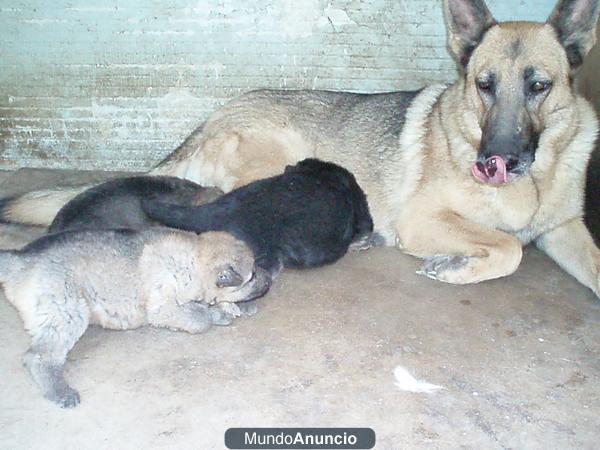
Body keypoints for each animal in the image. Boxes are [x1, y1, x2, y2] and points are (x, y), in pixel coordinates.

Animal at [0, 229, 270, 408]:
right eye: (253, 275)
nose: (270, 280)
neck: (194, 261)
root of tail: (19, 260)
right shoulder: (164, 308)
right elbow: (199, 316)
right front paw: (217, 313)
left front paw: (235, 307)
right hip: (66, 311)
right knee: (37, 356)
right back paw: (59, 390)